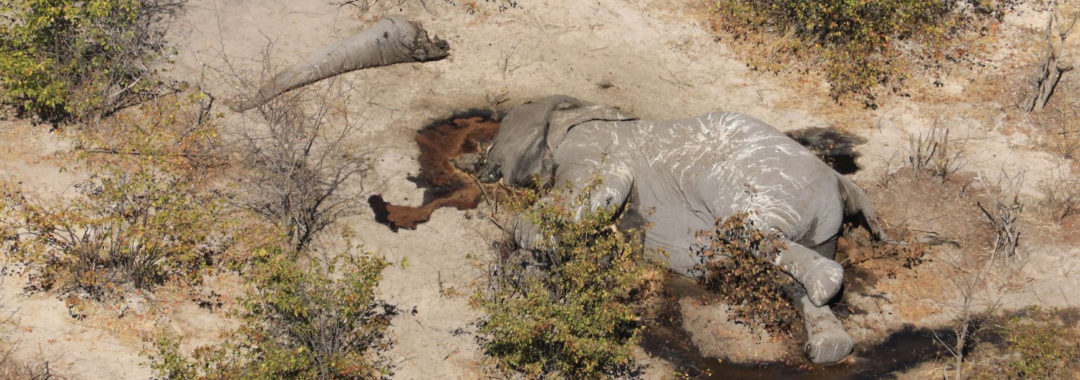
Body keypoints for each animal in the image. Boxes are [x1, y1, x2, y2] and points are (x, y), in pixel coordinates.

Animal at [479, 94, 894, 362]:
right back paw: (827, 347)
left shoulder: (592, 144)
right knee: (785, 278)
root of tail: (844, 183)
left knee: (746, 229)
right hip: (818, 225)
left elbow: (602, 184)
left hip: (767, 183)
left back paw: (824, 286)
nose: (481, 171)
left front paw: (530, 237)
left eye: (502, 139)